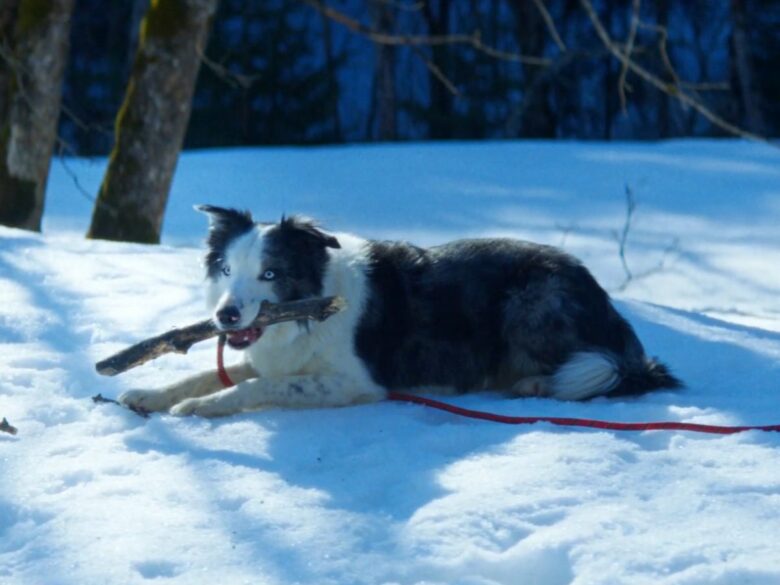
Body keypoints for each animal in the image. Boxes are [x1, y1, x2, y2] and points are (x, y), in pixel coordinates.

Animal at [119, 205, 680, 416]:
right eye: (226, 269)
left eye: (271, 274)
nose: (227, 318)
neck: (309, 312)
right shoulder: (275, 357)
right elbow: (207, 375)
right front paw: (149, 395)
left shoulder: (355, 382)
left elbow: (258, 387)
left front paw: (201, 408)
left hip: (530, 300)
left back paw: (534, 384)